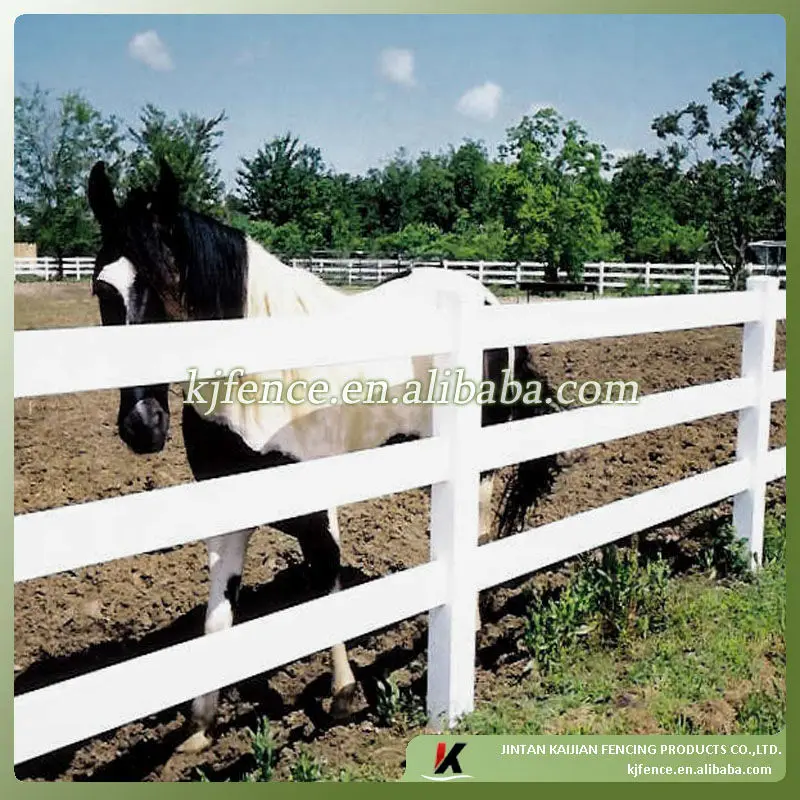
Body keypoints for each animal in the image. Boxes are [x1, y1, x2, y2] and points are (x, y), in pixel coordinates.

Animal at [86, 159, 558, 753]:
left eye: (172, 288)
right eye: (103, 289)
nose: (142, 425)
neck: (257, 380)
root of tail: (486, 298)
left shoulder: (315, 500)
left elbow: (326, 581)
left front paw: (344, 694)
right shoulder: (228, 506)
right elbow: (219, 615)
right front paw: (199, 727)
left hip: (482, 461)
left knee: (472, 531)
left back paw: (467, 626)